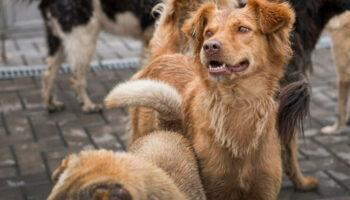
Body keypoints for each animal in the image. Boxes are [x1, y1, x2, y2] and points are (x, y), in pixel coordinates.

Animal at [104, 0, 320, 198]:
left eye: (243, 29)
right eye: (208, 32)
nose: (209, 46)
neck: (237, 105)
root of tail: (164, 55)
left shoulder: (264, 189)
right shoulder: (213, 187)